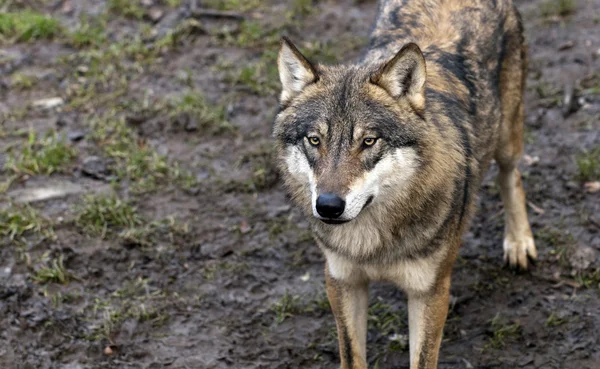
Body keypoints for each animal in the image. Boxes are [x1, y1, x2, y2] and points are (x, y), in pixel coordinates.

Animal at [272, 1, 540, 366]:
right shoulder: (342, 281)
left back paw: (518, 244)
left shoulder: (430, 291)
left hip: (507, 138)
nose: (328, 206)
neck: (372, 245)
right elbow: (351, 356)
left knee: (511, 176)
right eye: (314, 140)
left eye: (368, 142)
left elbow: (422, 358)